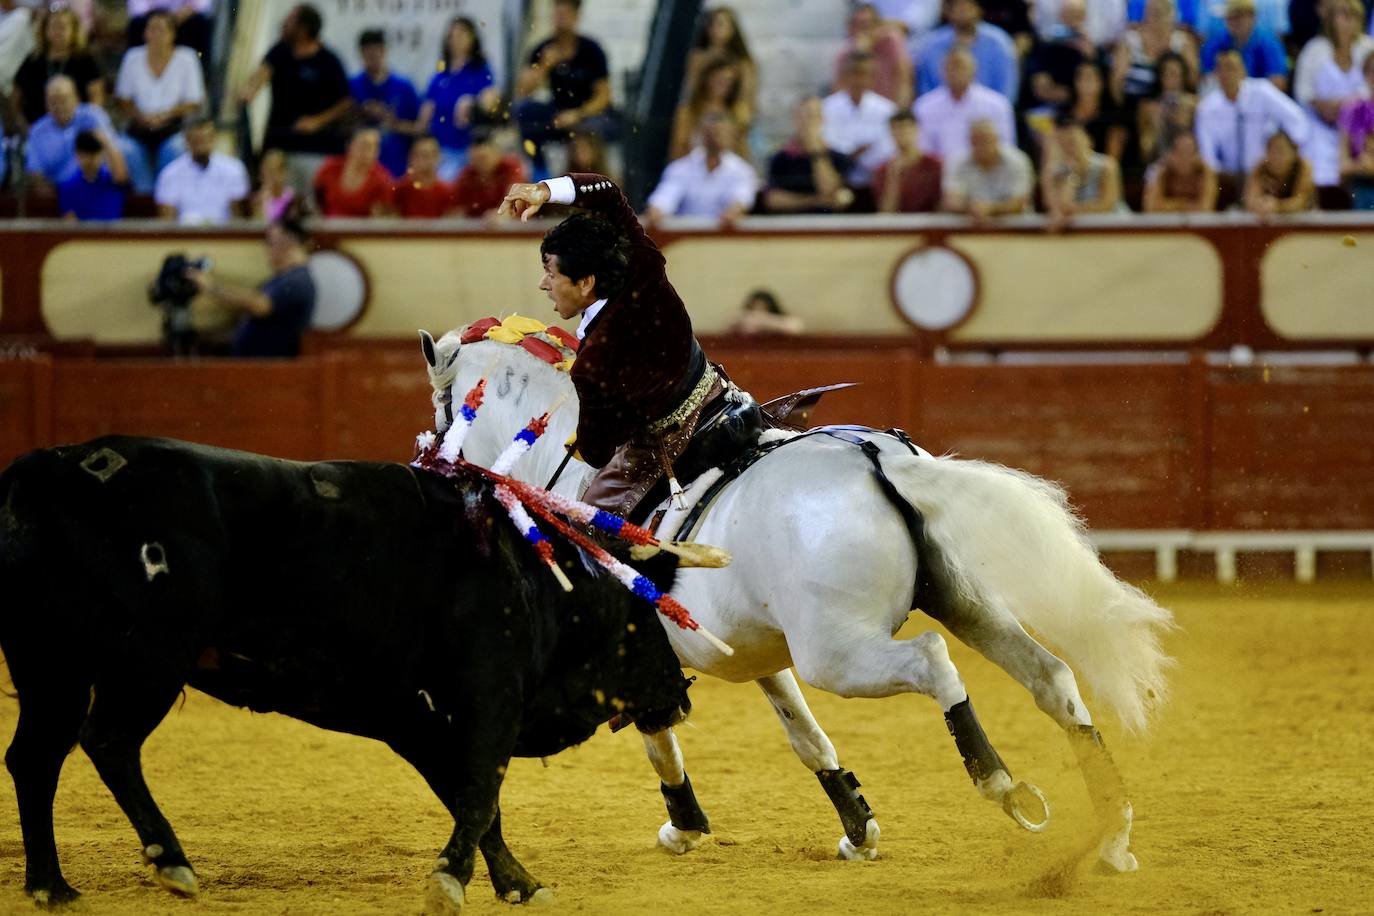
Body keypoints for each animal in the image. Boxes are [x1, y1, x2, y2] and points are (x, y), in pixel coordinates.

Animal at [0, 436, 692, 911]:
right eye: (646, 616)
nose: (682, 696)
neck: (537, 580)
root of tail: (46, 469)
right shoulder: (489, 701)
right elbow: (478, 794)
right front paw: (452, 880)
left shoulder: (414, 718)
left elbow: (471, 800)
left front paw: (517, 883)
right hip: (149, 662)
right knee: (107, 741)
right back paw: (169, 863)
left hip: (50, 667)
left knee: (34, 758)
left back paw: (51, 886)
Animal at [417, 325, 1170, 873]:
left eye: (441, 405)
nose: (429, 462)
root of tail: (876, 457)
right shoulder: (754, 654)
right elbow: (804, 737)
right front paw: (858, 829)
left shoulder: (634, 655)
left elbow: (659, 734)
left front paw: (685, 826)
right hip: (965, 603)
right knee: (1052, 678)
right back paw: (1113, 834)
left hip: (837, 652)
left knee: (933, 660)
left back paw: (1004, 786)